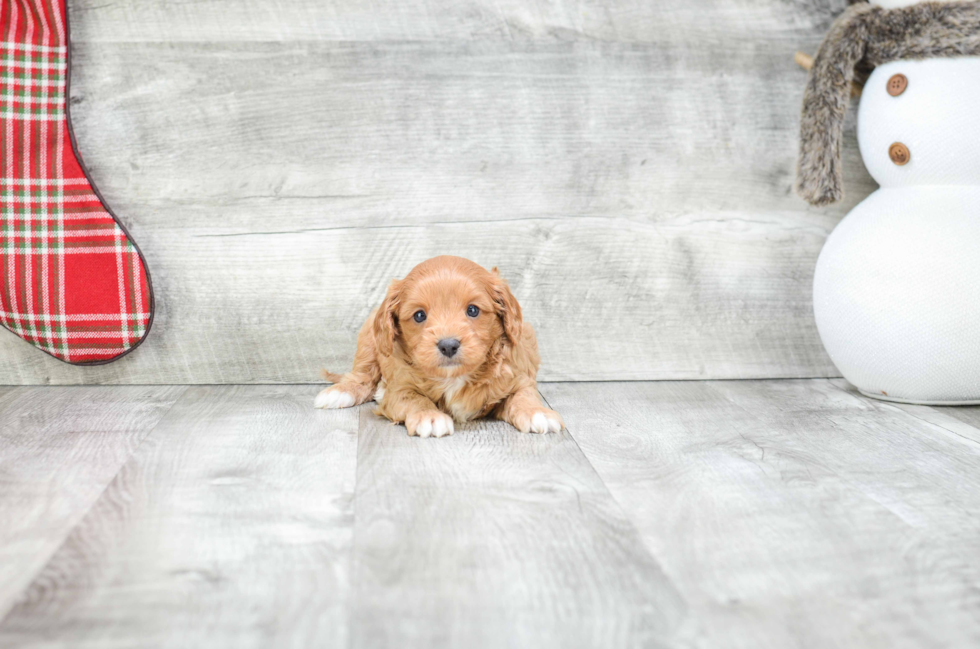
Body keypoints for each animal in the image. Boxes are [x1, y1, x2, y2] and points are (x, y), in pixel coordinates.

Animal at [312, 256, 560, 438]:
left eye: (472, 310)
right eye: (419, 315)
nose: (448, 345)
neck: (455, 377)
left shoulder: (518, 377)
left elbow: (523, 396)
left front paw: (537, 412)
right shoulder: (399, 387)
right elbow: (414, 398)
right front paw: (429, 417)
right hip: (369, 340)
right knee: (363, 375)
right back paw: (340, 392)